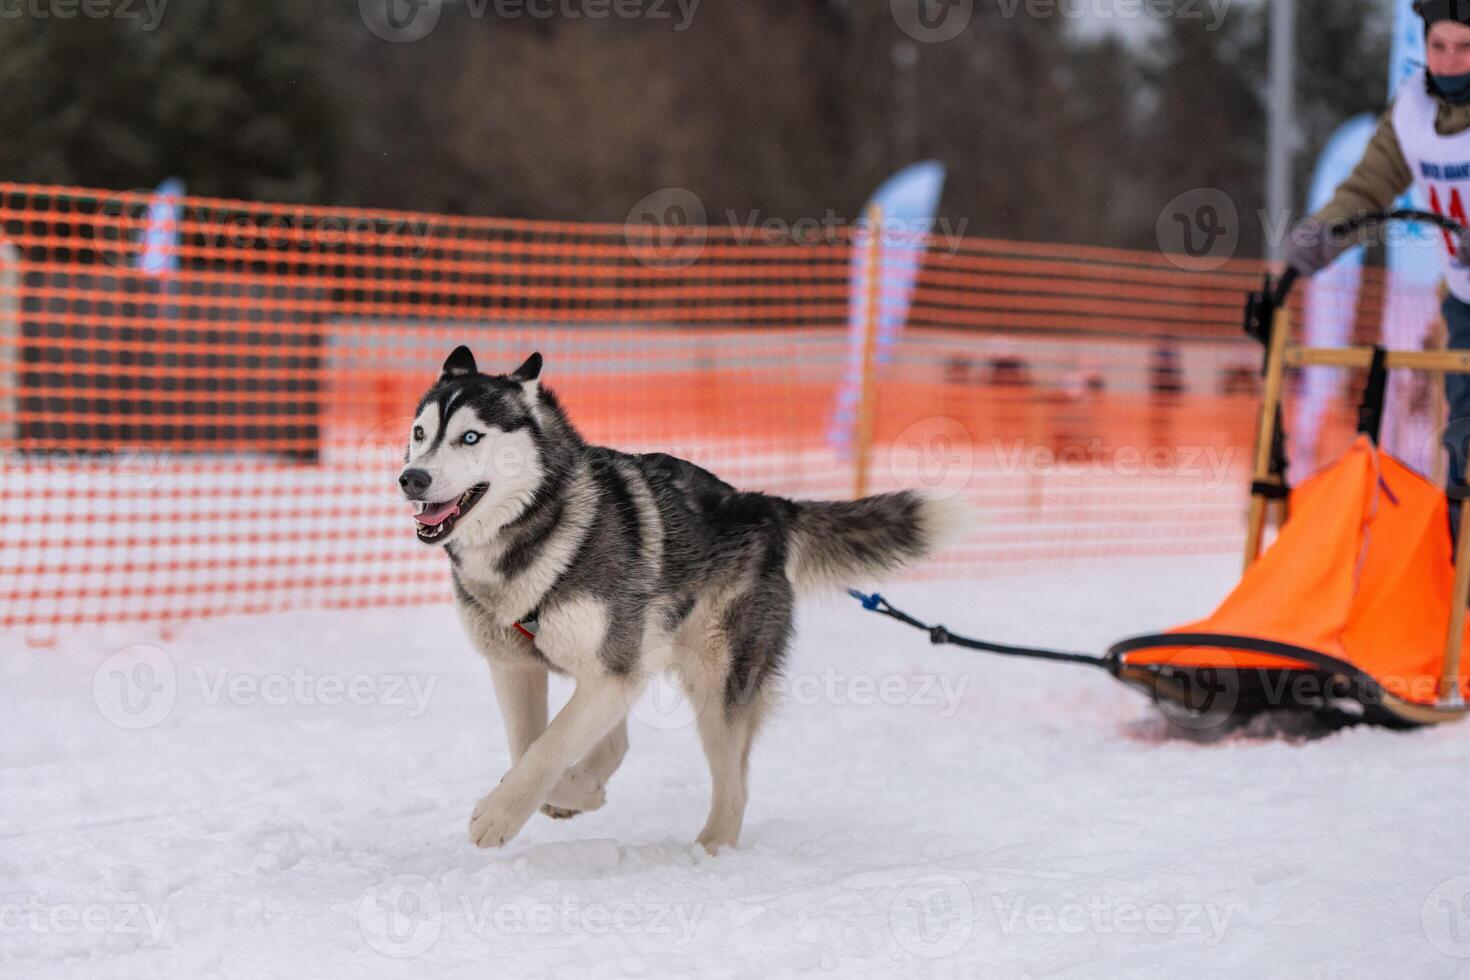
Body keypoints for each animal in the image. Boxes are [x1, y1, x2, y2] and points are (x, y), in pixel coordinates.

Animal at [399, 346, 964, 852]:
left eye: (471, 437)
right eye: (420, 434)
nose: (411, 478)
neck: (535, 528)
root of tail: (763, 506)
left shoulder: (611, 673)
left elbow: (549, 746)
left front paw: (502, 813)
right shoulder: (518, 666)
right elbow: (529, 745)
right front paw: (573, 791)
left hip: (715, 678)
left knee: (734, 786)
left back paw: (711, 849)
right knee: (623, 740)